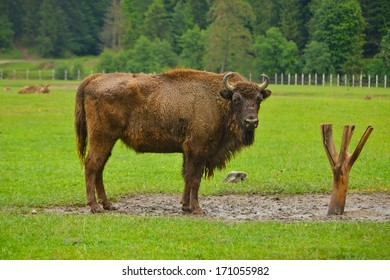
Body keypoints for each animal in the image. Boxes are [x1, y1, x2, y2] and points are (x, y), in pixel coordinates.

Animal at [75, 69, 272, 213]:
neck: (218, 98)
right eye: (237, 99)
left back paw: (108, 204)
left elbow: (188, 177)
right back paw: (94, 206)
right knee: (92, 165)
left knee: (99, 168)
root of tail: (94, 78)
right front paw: (197, 209)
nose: (251, 121)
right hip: (102, 138)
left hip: (108, 141)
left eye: (259, 99)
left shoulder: (190, 153)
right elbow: (194, 179)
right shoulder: (198, 151)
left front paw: (185, 206)